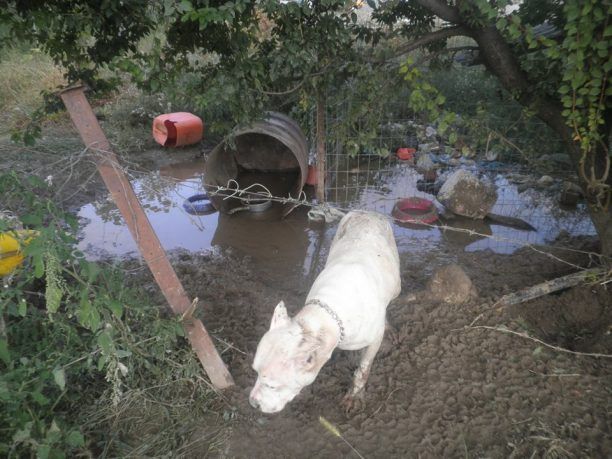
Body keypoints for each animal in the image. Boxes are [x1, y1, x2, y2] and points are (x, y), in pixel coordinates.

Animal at [249, 211, 402, 414]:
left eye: (272, 386)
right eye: (255, 371)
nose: (253, 403)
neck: (326, 314)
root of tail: (367, 212)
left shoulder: (373, 340)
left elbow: (363, 369)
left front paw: (354, 395)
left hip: (396, 283)